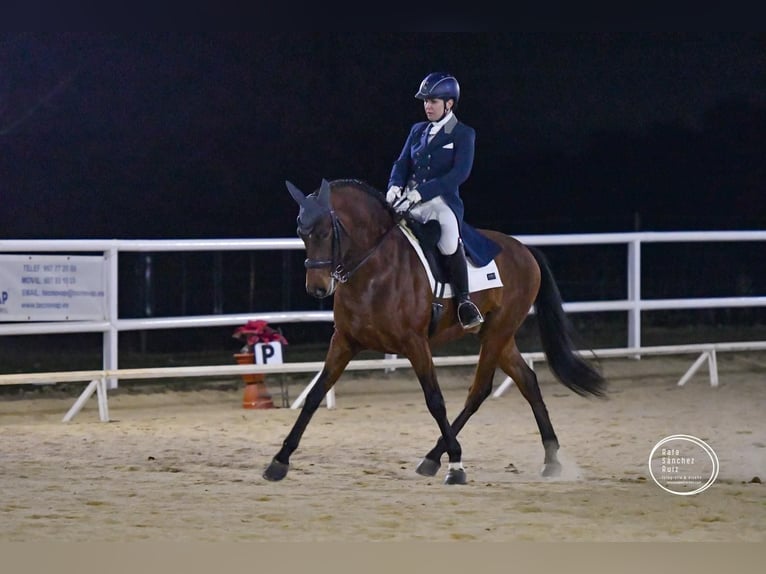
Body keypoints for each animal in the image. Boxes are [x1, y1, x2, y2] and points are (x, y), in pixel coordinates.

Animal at [264, 180, 608, 486]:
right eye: (301, 234)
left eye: (324, 232)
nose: (317, 288)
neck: (374, 270)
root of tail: (524, 250)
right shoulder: (345, 341)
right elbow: (315, 394)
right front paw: (279, 461)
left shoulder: (415, 343)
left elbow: (435, 400)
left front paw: (456, 465)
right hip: (497, 335)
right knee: (527, 381)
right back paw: (551, 460)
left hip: (497, 333)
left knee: (479, 391)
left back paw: (437, 457)